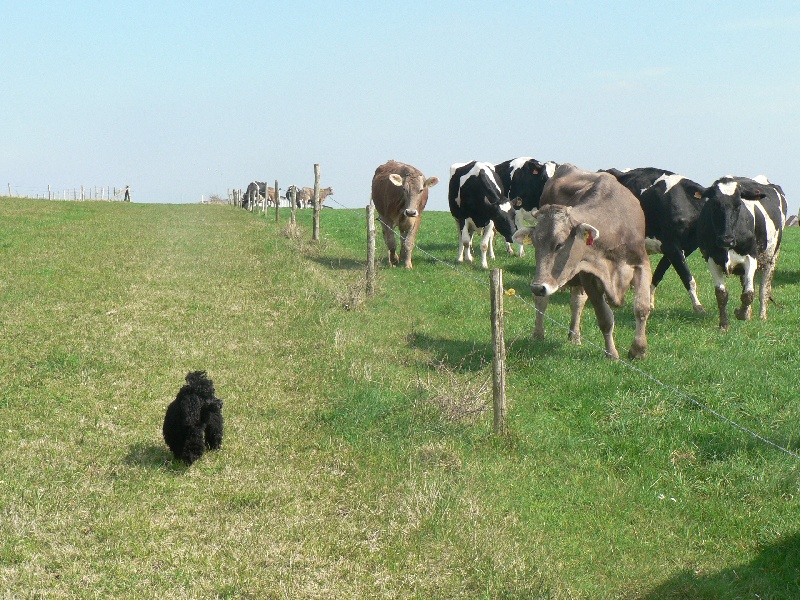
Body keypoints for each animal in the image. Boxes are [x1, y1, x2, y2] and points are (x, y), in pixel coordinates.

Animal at [512, 164, 648, 358]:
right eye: (535, 244)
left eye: (560, 244)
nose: (538, 287)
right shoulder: (587, 275)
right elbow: (604, 317)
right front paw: (612, 353)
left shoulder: (642, 262)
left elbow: (642, 307)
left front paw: (638, 350)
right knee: (542, 302)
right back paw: (538, 335)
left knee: (576, 302)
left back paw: (574, 335)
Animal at [608, 165, 708, 312]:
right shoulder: (672, 247)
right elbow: (687, 277)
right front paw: (698, 306)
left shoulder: (679, 248)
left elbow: (658, 274)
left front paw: (649, 302)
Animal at [692, 173, 788, 332]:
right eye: (714, 204)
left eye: (738, 205)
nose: (727, 239)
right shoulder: (711, 260)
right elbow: (722, 294)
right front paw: (724, 324)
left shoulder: (751, 258)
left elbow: (749, 294)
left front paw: (740, 313)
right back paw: (748, 314)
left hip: (772, 257)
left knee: (764, 289)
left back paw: (761, 316)